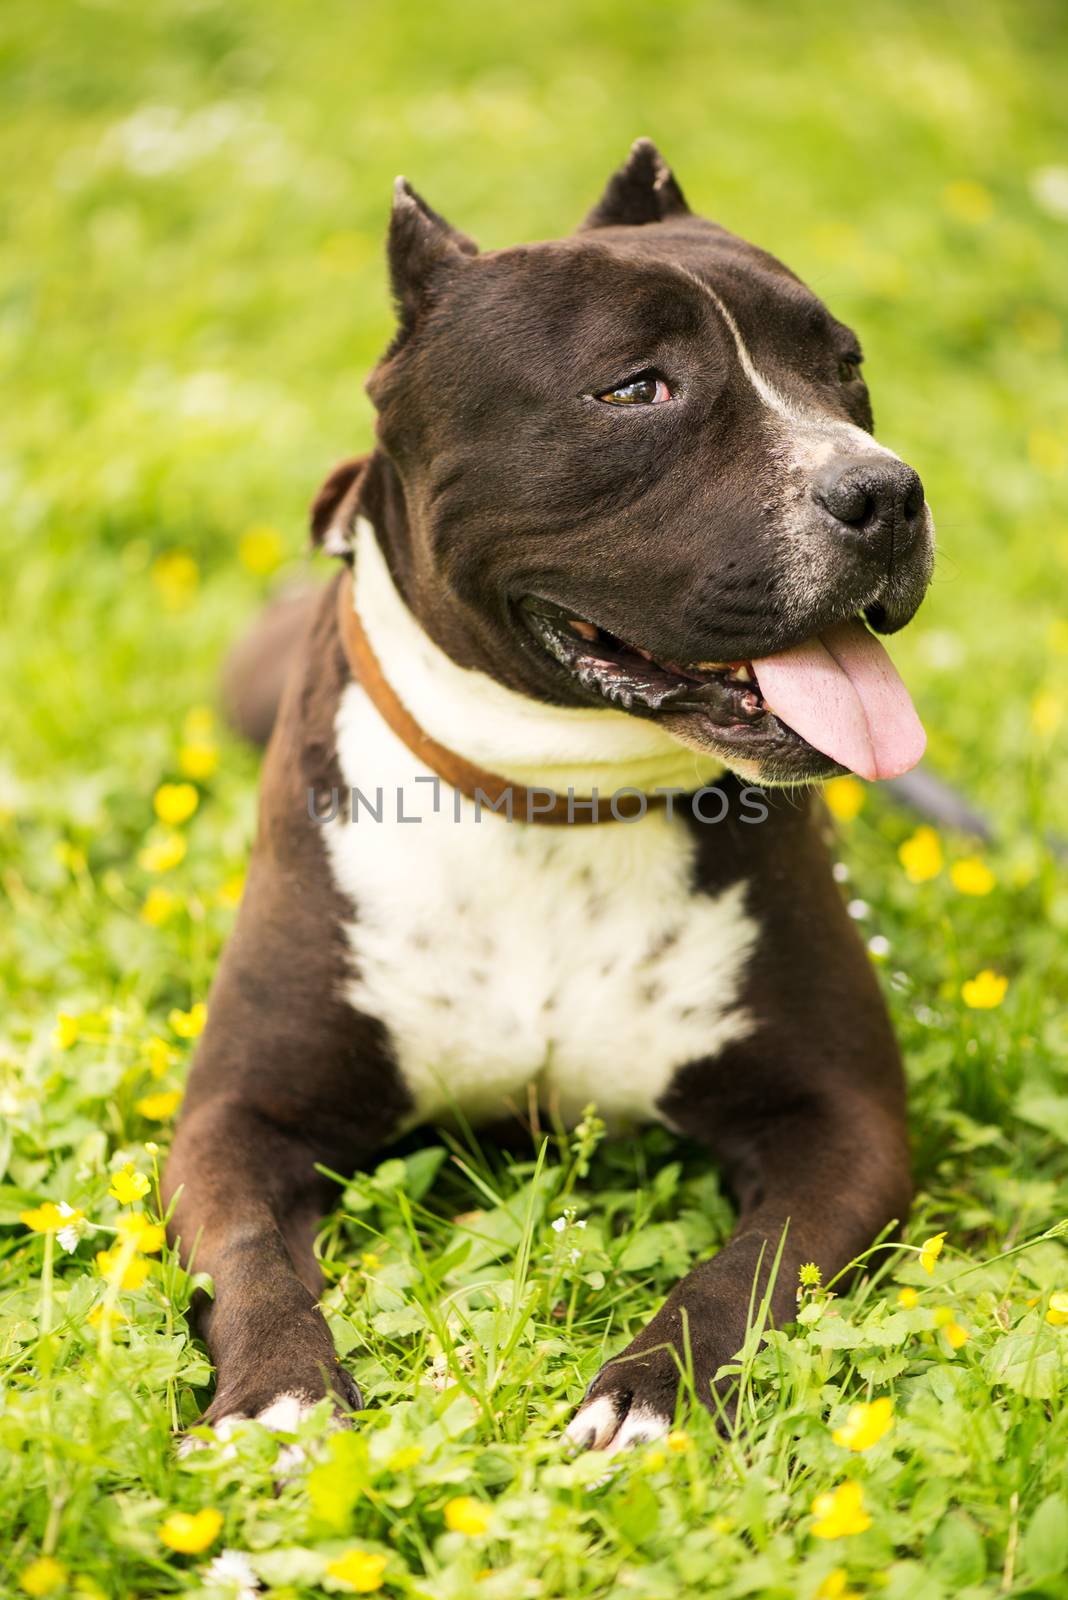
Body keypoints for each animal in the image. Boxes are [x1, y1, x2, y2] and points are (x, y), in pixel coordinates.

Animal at [160, 144, 933, 1459]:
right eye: (635, 390)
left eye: (847, 368)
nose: (886, 492)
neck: (558, 798)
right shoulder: (236, 1114)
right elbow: (250, 1252)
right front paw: (278, 1390)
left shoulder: (845, 1120)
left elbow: (749, 1267)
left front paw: (652, 1390)